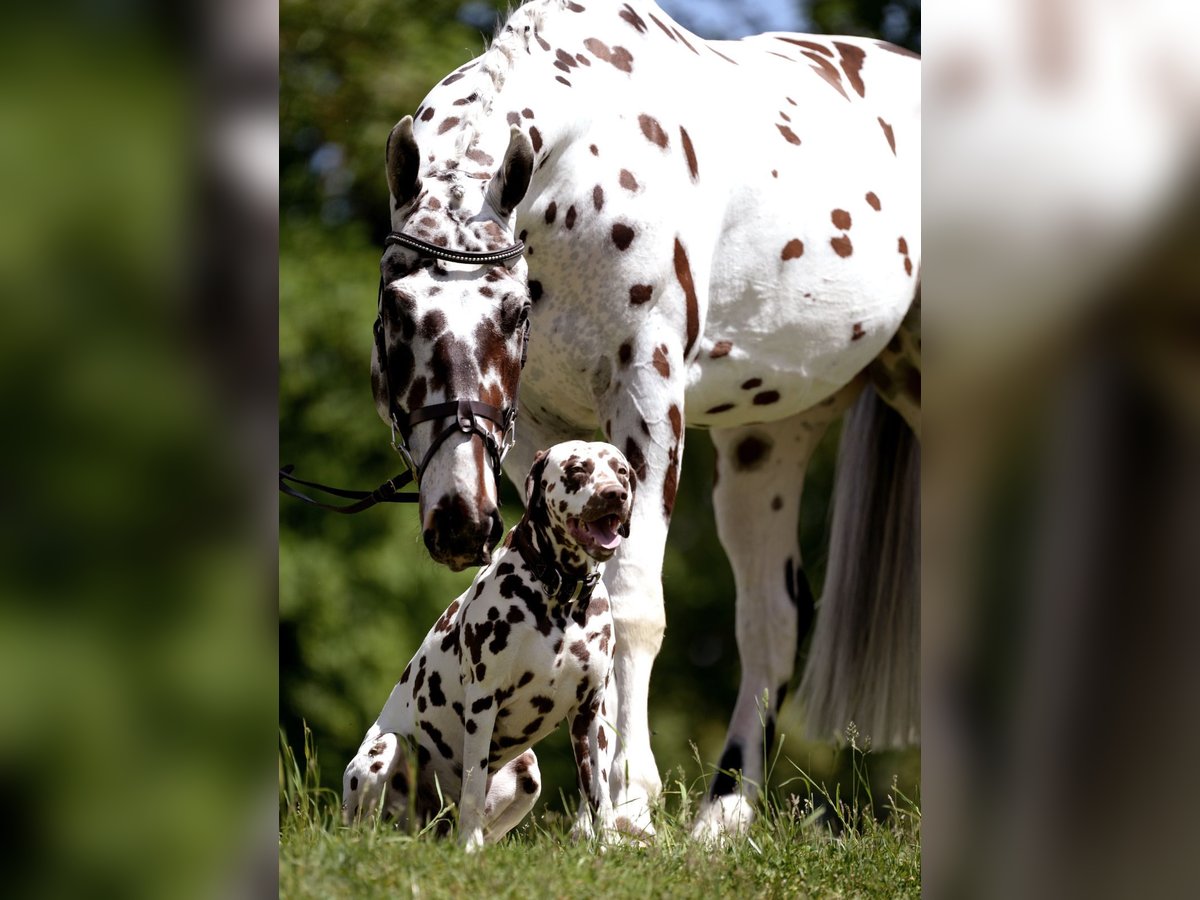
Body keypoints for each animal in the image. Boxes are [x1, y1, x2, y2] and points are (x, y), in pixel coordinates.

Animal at [343, 441, 633, 854]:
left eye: (621, 471)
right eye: (578, 470)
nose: (615, 494)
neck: (561, 600)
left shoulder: (590, 711)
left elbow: (599, 789)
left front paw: (607, 843)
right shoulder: (483, 701)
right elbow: (473, 782)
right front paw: (469, 845)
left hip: (528, 770)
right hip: (383, 751)